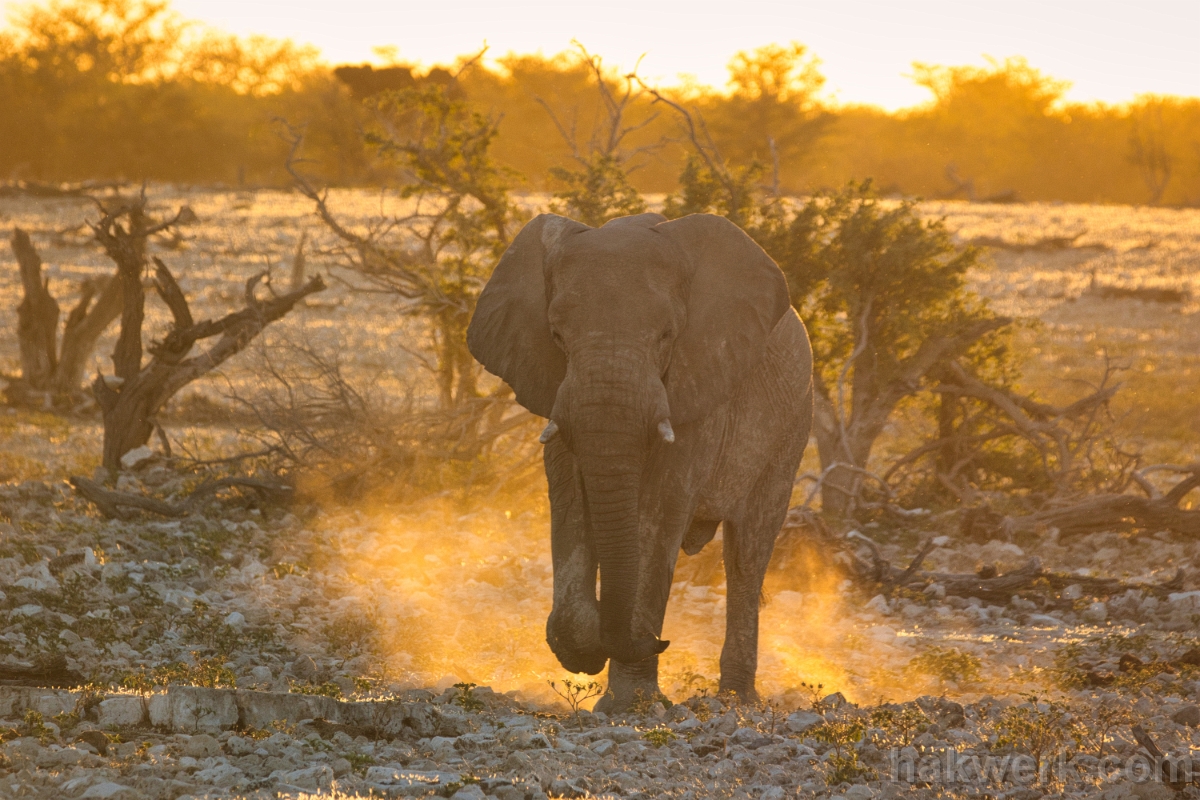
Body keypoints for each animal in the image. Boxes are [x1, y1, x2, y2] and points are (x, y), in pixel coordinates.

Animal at [468, 209, 816, 710]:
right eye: (556, 335)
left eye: (667, 335)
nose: (660, 641)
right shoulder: (556, 389)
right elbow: (572, 499)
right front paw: (582, 645)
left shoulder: (698, 387)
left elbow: (658, 513)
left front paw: (630, 704)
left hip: (793, 423)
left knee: (747, 554)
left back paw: (737, 700)